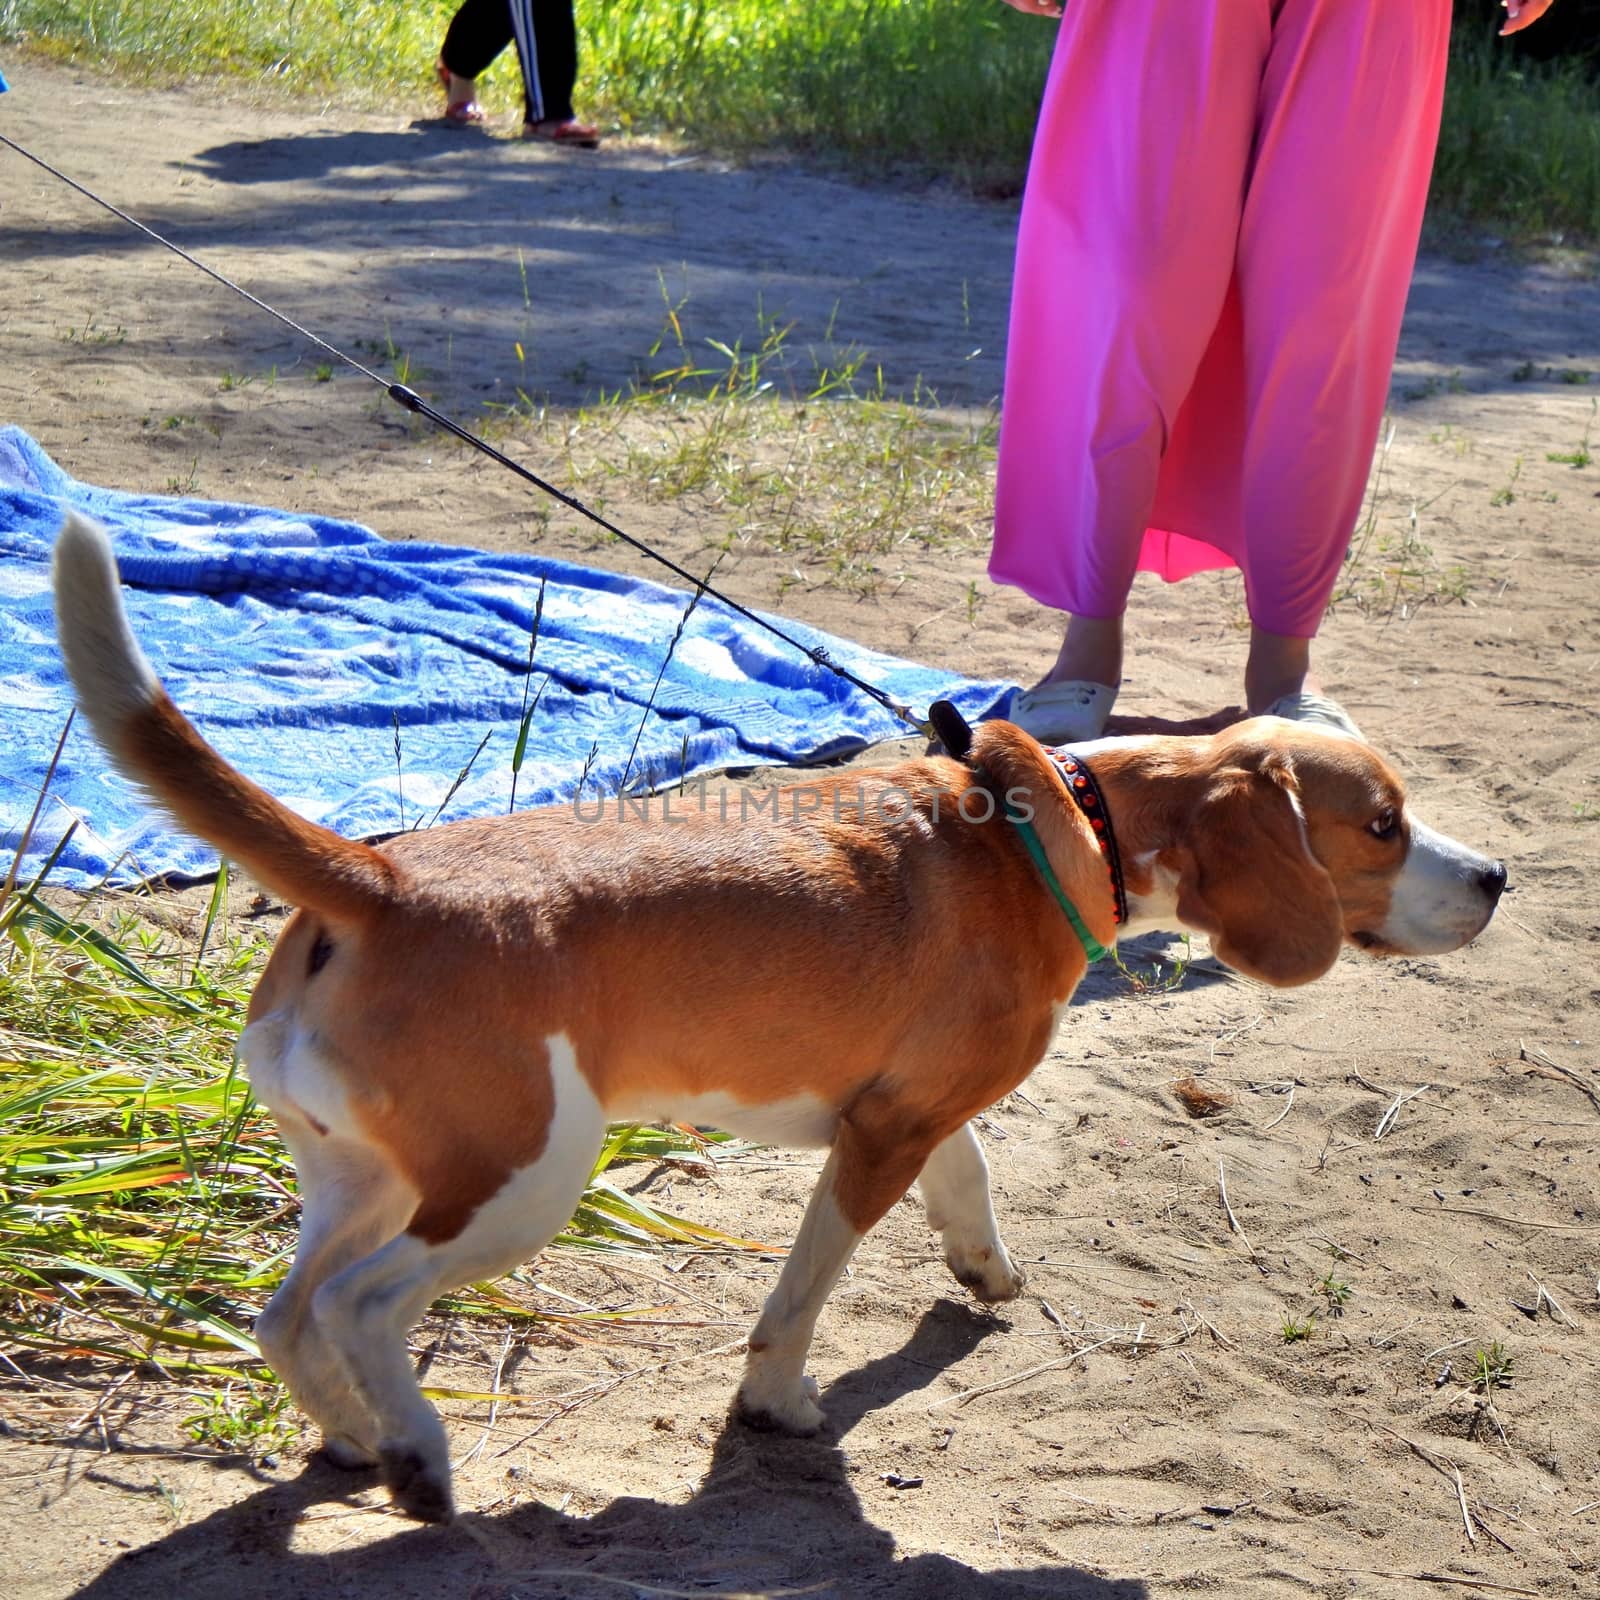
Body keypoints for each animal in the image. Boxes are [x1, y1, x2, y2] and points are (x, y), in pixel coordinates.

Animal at [50, 515, 1497, 1523]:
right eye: (1382, 824)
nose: (1495, 879)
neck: (1065, 822)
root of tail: (379, 877)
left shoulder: (907, 1109)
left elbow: (970, 1178)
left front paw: (984, 1271)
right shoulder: (875, 1142)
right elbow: (804, 1289)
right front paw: (777, 1402)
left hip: (366, 1177)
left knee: (288, 1313)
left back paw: (353, 1436)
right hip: (521, 1181)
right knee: (361, 1306)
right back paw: (415, 1450)